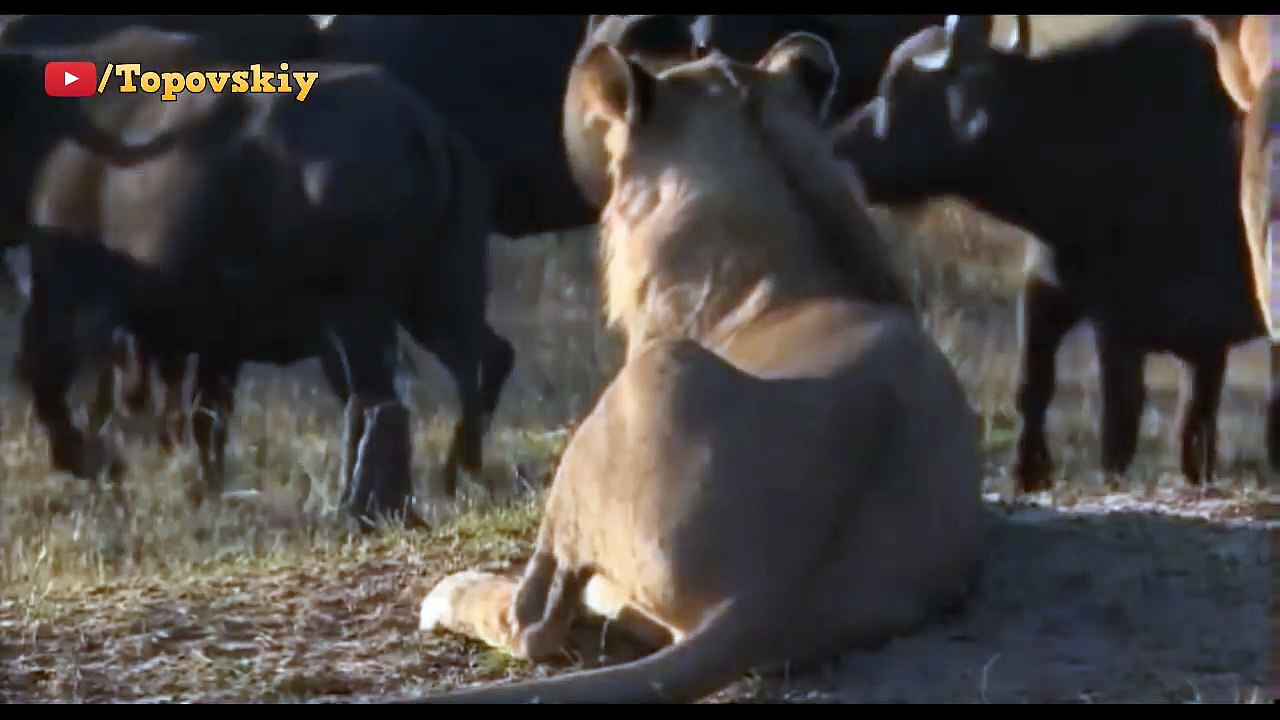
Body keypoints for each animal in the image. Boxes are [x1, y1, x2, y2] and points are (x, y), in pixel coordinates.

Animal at [837, 15, 1270, 491]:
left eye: (896, 88)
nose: (841, 144)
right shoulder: (1045, 293)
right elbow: (1033, 387)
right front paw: (1027, 472)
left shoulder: (1125, 325)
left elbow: (1123, 424)